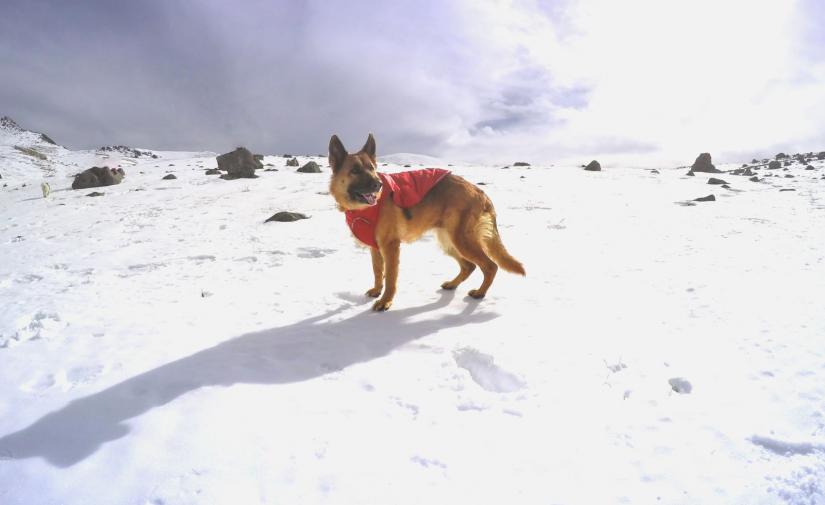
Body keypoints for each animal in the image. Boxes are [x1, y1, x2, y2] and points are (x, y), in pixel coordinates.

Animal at [326, 132, 524, 310]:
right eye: (355, 171)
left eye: (372, 168)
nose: (378, 185)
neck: (364, 209)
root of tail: (479, 191)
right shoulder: (376, 248)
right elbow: (377, 271)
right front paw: (376, 291)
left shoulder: (390, 247)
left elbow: (390, 277)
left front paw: (385, 301)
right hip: (448, 242)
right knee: (469, 266)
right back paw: (452, 284)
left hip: (462, 241)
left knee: (490, 266)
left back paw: (480, 293)